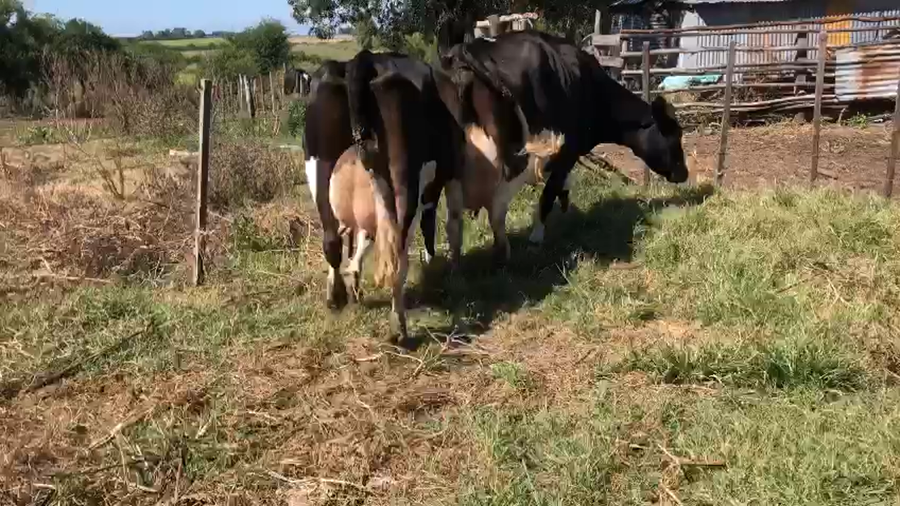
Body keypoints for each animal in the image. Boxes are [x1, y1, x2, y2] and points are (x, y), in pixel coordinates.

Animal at [441, 29, 690, 247]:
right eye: (674, 135)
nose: (684, 173)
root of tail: (469, 49)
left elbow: (558, 185)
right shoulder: (569, 148)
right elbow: (549, 190)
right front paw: (537, 235)